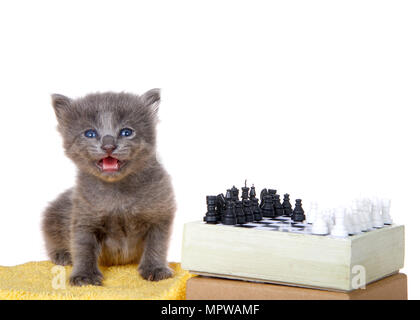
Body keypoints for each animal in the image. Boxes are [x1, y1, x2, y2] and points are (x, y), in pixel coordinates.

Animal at [41, 89, 176, 286]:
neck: (117, 191)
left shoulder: (160, 213)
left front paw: (155, 269)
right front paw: (85, 276)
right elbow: (83, 247)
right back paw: (63, 255)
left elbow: (157, 244)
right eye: (89, 133)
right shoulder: (84, 217)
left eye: (127, 132)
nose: (108, 145)